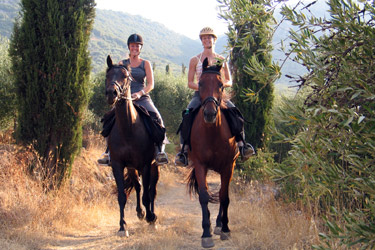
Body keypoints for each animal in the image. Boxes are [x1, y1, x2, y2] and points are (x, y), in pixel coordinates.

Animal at [104, 55, 160, 236]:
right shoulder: (118, 165)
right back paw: (140, 212)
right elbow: (122, 196)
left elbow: (147, 195)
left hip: (154, 166)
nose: (112, 93)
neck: (128, 128)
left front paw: (151, 218)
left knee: (152, 190)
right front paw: (123, 226)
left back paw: (152, 216)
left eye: (125, 77)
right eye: (107, 75)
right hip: (132, 168)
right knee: (138, 185)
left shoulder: (146, 164)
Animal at [187, 58, 239, 248]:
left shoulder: (228, 166)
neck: (212, 132)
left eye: (221, 85)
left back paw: (218, 224)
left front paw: (225, 229)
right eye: (200, 83)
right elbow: (204, 196)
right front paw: (206, 233)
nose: (210, 113)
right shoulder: (200, 165)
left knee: (224, 194)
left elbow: (224, 197)